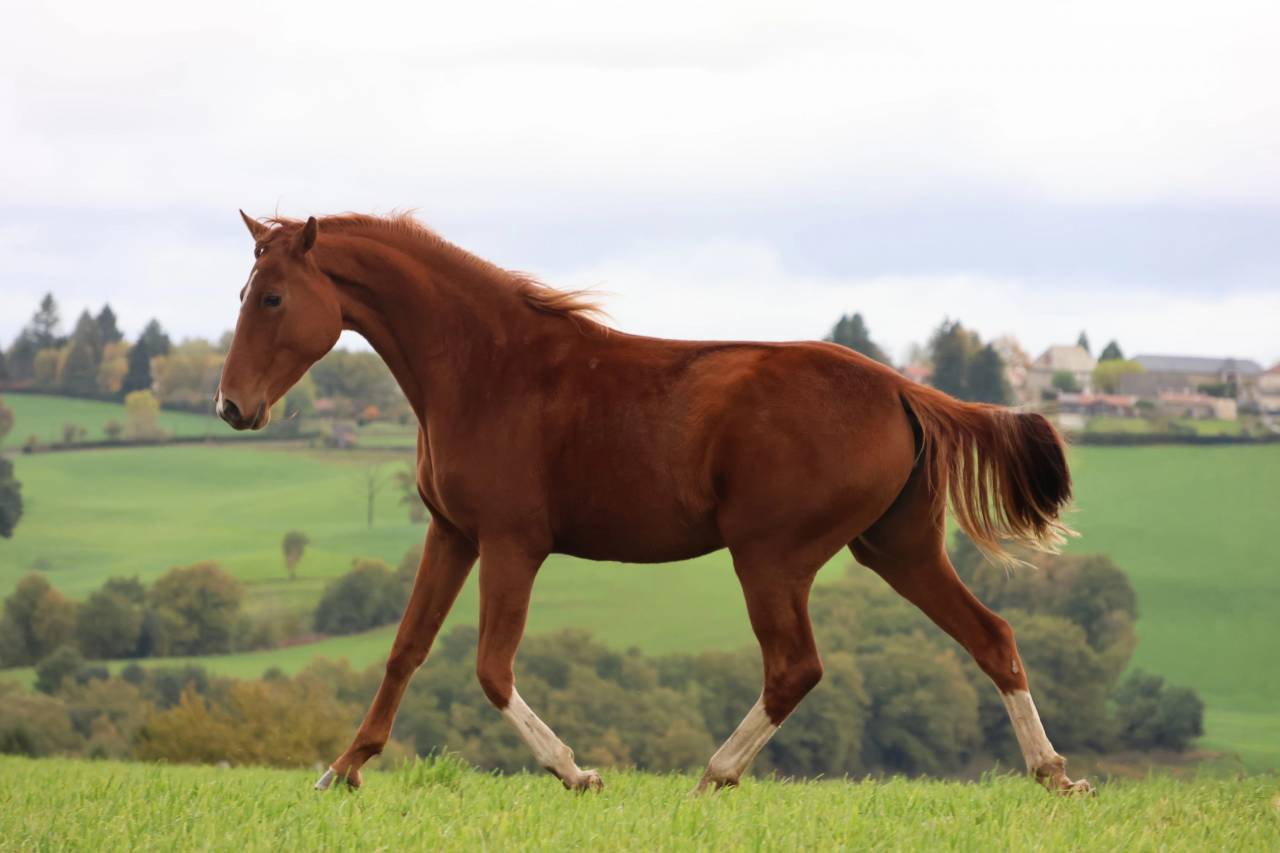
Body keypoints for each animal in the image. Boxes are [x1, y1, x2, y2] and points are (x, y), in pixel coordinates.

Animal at [216, 210, 1091, 796]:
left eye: (272, 298)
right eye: (245, 290)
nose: (230, 406)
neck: (486, 368)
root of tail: (901, 388)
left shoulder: (511, 541)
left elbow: (491, 667)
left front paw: (576, 772)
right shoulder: (453, 533)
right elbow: (406, 649)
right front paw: (343, 768)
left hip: (772, 556)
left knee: (795, 667)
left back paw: (712, 776)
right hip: (896, 548)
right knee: (992, 636)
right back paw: (1053, 772)